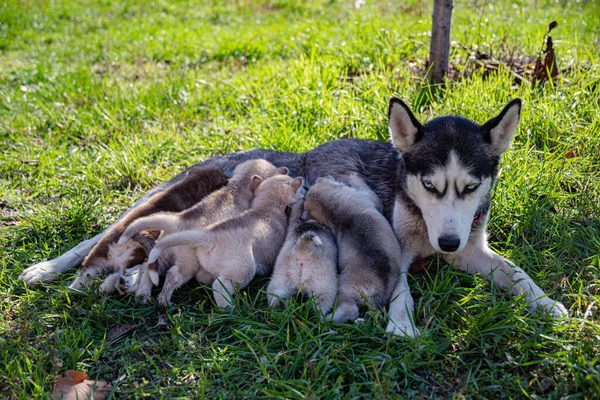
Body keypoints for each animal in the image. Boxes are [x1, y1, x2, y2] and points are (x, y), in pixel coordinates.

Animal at [118, 159, 288, 300]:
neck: (239, 185)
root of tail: (178, 221)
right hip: (187, 262)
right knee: (173, 275)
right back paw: (164, 300)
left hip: (162, 254)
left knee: (148, 269)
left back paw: (144, 294)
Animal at [145, 173, 304, 308]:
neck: (267, 208)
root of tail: (210, 236)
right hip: (243, 270)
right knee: (219, 286)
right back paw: (229, 308)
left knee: (174, 275)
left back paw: (164, 300)